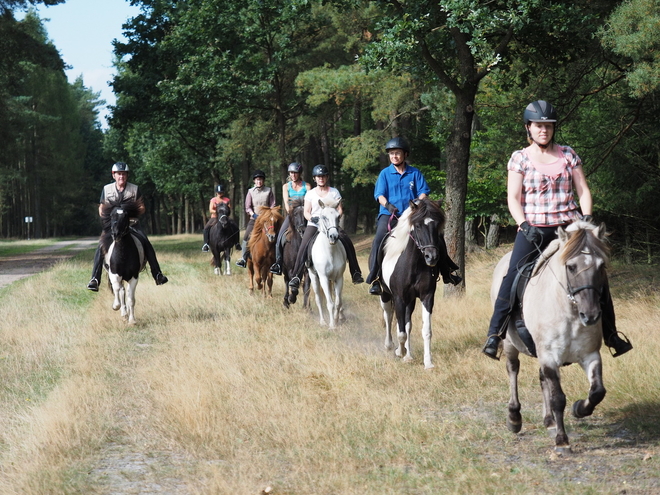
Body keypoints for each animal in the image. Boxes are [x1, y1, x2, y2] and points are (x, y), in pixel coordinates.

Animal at [98, 198, 146, 326]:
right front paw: (116, 306)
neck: (123, 254)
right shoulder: (114, 275)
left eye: (126, 216)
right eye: (111, 215)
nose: (116, 234)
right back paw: (123, 313)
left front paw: (132, 320)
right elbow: (117, 291)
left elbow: (131, 299)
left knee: (125, 291)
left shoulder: (134, 277)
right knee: (120, 290)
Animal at [310, 198, 350, 330]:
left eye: (338, 217)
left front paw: (337, 320)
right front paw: (332, 326)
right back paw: (322, 321)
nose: (334, 236)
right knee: (318, 299)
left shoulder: (339, 278)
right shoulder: (324, 278)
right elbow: (329, 303)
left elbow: (337, 302)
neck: (330, 252)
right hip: (314, 277)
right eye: (324, 217)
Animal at [378, 200, 446, 370]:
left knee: (407, 324)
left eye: (437, 226)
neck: (414, 264)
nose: (431, 257)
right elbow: (400, 331)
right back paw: (390, 346)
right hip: (385, 294)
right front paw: (399, 351)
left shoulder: (426, 297)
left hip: (411, 300)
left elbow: (425, 330)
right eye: (418, 226)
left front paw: (428, 363)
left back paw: (408, 355)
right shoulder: (399, 297)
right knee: (388, 316)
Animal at [492, 221, 612, 454]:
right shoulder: (548, 355)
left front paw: (579, 409)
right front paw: (562, 441)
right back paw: (514, 417)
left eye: (601, 265)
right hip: (510, 344)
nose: (591, 315)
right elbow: (558, 398)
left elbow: (597, 391)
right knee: (513, 370)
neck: (568, 311)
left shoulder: (590, 355)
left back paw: (549, 421)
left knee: (542, 379)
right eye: (571, 267)